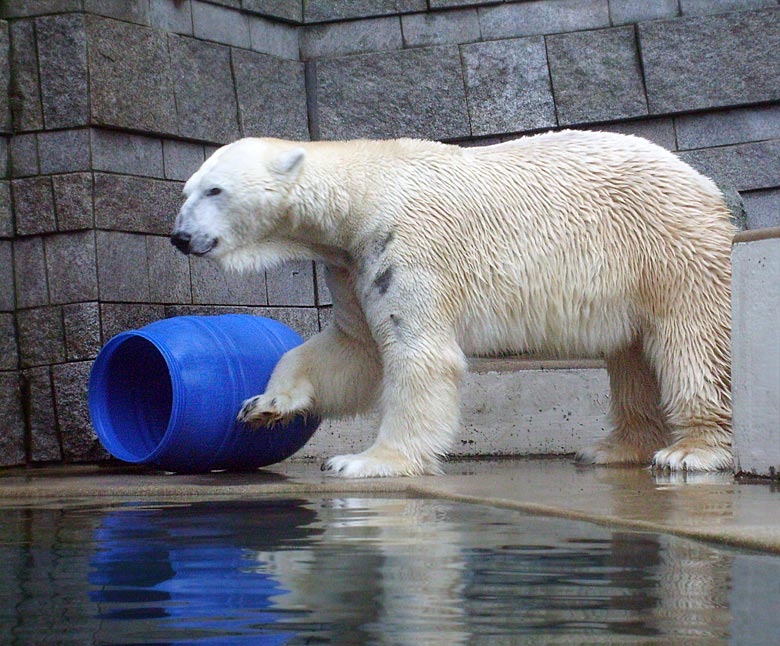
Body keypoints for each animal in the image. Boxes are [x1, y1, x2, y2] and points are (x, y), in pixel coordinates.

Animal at [172, 129, 736, 478]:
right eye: (186, 190)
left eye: (215, 190)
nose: (179, 237)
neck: (364, 192)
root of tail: (705, 184)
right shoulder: (351, 264)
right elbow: (353, 348)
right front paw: (265, 405)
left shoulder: (406, 244)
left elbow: (418, 354)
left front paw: (367, 461)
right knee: (632, 355)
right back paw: (613, 448)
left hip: (668, 248)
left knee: (692, 342)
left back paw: (691, 451)